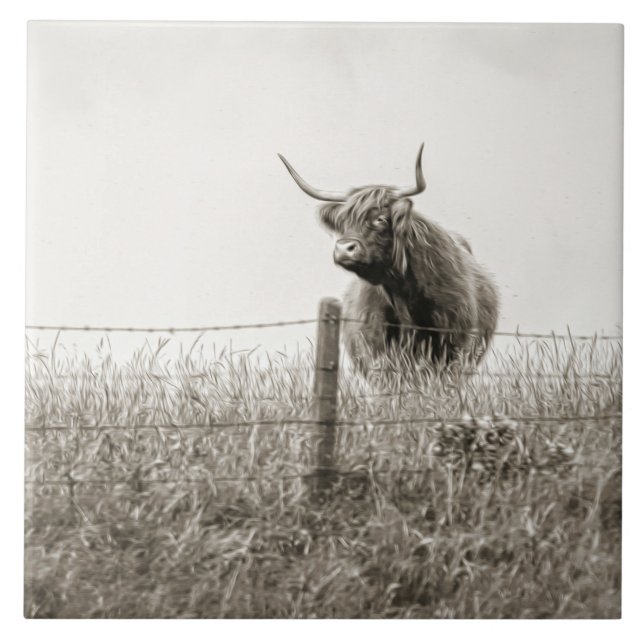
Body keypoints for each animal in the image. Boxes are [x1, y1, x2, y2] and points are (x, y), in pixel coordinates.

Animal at [278, 144, 499, 373]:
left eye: (381, 219)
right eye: (343, 222)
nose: (344, 249)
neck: (405, 297)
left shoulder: (456, 350)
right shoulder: (376, 354)